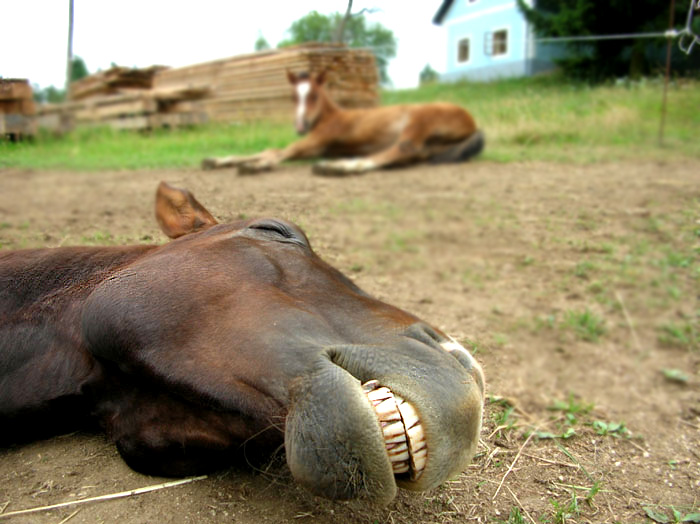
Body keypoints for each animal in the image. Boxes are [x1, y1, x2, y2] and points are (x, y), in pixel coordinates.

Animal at [201, 69, 482, 175]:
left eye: (313, 95)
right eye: (294, 96)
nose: (300, 126)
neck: (330, 117)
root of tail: (471, 121)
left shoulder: (316, 141)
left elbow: (278, 152)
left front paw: (255, 166)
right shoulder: (316, 146)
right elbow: (271, 150)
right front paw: (216, 161)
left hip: (418, 121)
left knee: (402, 149)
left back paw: (340, 167)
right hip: (431, 145)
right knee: (408, 156)